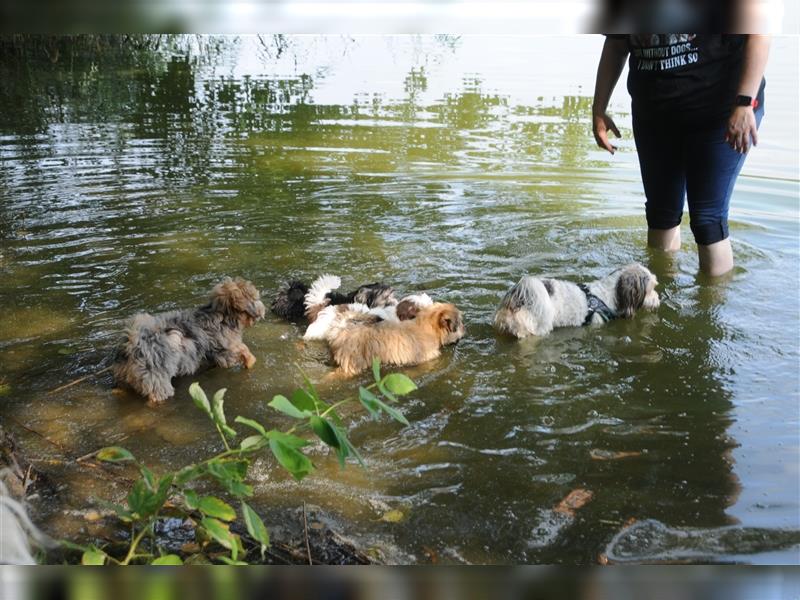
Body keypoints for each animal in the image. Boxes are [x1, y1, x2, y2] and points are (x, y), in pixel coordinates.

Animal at [111, 278, 266, 406]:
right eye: (255, 298)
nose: (263, 309)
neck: (222, 316)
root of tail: (132, 344)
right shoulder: (224, 350)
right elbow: (243, 349)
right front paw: (250, 361)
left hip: (124, 377)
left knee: (120, 389)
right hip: (156, 378)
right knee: (156, 396)